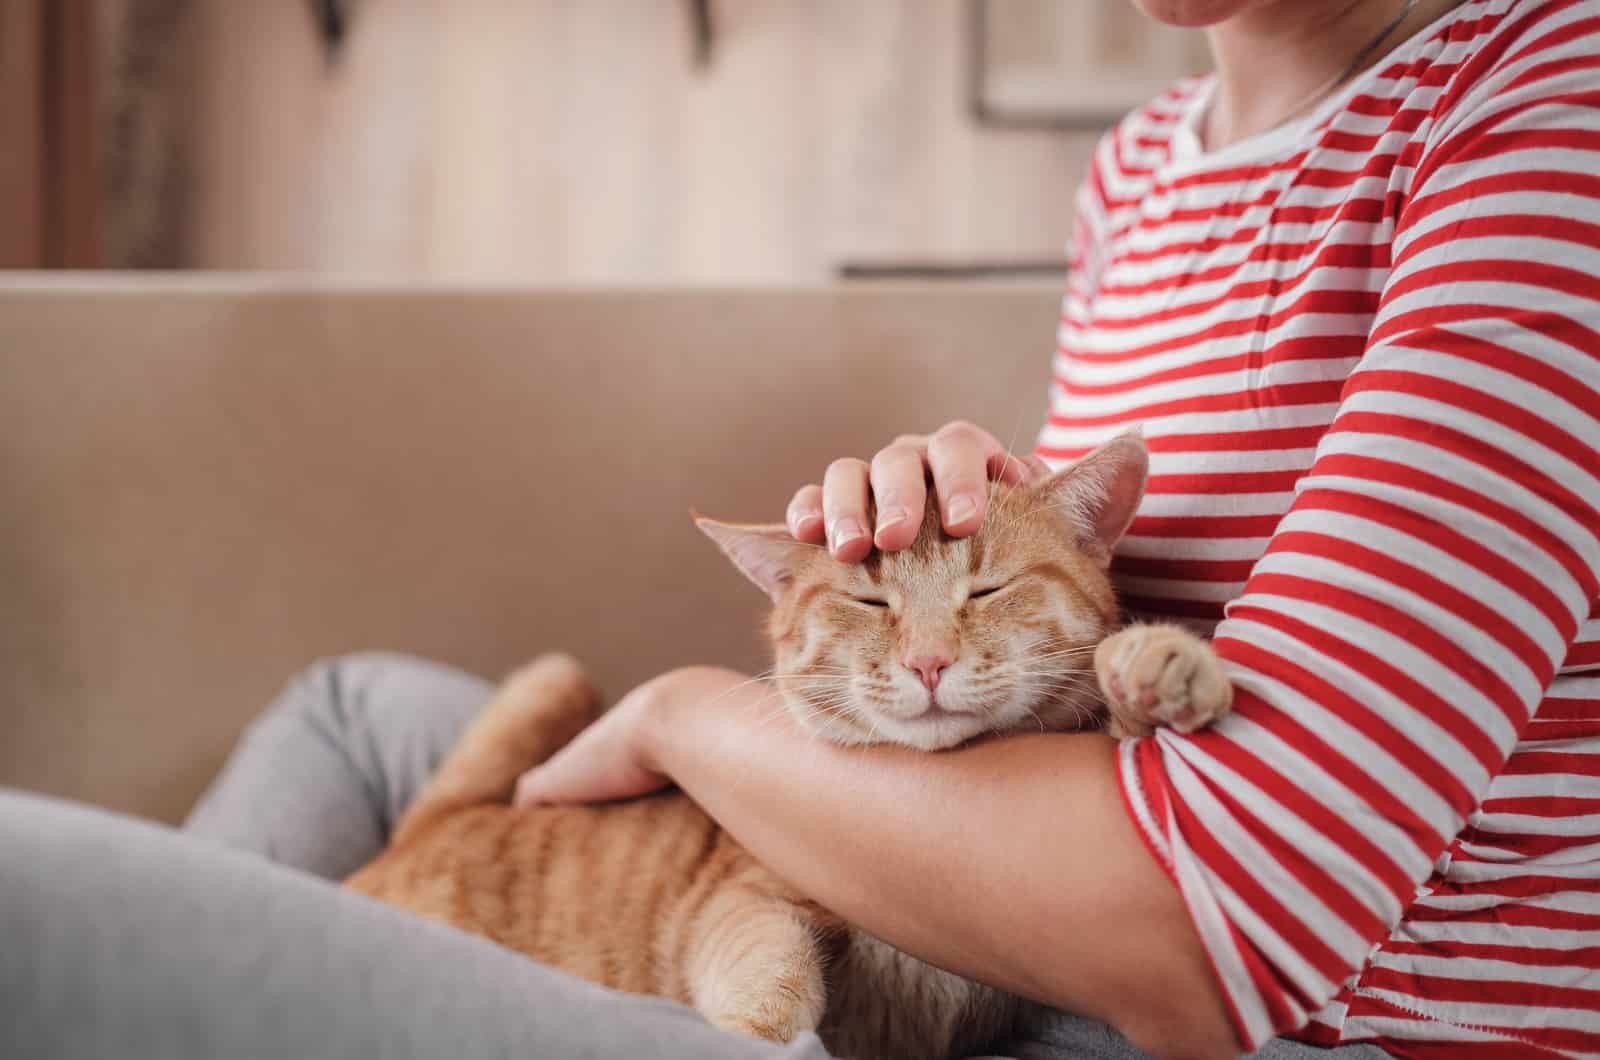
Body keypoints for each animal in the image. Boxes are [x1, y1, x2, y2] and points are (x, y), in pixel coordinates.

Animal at [344, 435, 1228, 1060]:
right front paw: (753, 1033)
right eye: (869, 601)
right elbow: (768, 967)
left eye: (987, 589)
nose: (928, 661)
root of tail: (428, 829)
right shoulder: (747, 897)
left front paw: (1164, 665)